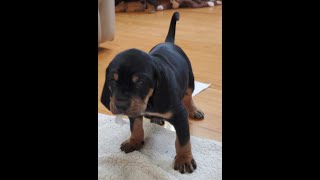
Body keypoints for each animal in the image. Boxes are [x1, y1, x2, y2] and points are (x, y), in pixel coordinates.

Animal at [101, 11, 204, 174]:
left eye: (140, 82)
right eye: (113, 80)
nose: (120, 105)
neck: (149, 101)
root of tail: (168, 42)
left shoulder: (180, 115)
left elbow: (183, 141)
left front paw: (184, 159)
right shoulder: (134, 111)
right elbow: (136, 127)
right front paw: (134, 142)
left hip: (190, 79)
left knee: (188, 97)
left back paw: (194, 110)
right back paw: (155, 118)